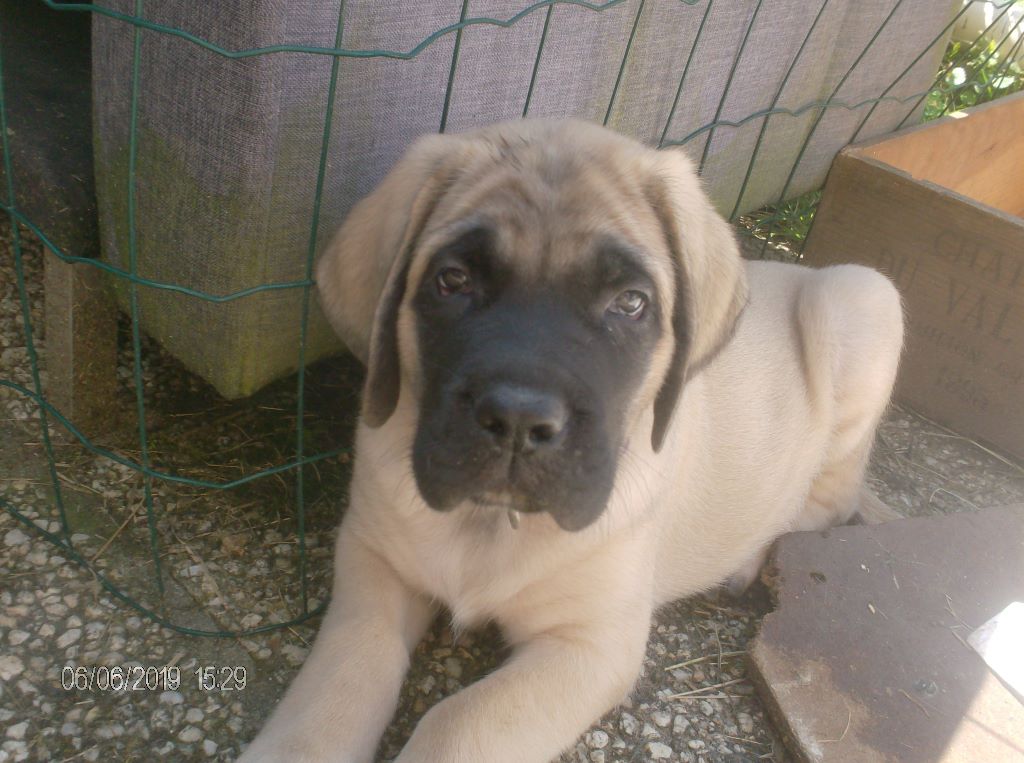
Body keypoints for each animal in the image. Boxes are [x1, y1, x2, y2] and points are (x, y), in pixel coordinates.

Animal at [241, 120, 905, 761]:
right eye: (452, 280)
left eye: (630, 303)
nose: (517, 419)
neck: (491, 525)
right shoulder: (371, 562)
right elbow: (345, 672)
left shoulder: (591, 645)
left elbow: (456, 722)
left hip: (862, 299)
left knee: (827, 500)